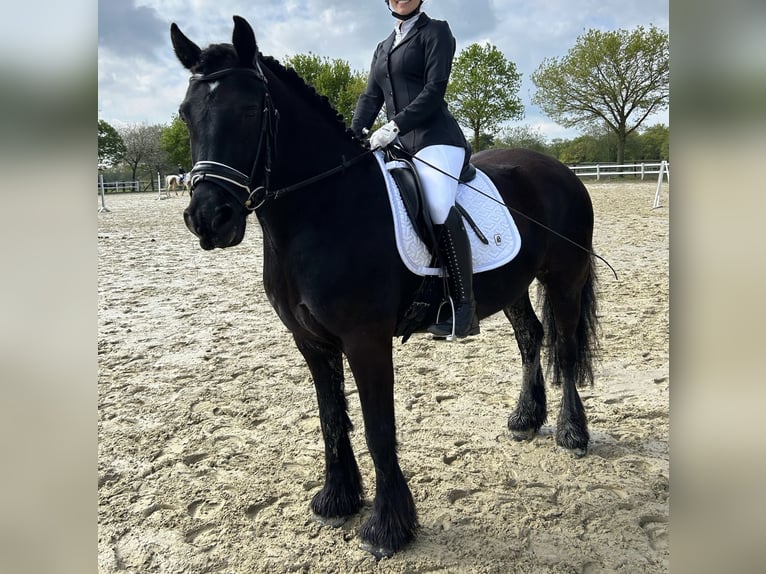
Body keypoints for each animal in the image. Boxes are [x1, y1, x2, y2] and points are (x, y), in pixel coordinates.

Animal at [171, 16, 600, 558]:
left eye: (250, 110)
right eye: (186, 114)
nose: (209, 220)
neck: (322, 210)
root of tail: (559, 169)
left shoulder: (365, 340)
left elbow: (378, 428)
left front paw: (388, 527)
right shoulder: (310, 341)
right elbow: (332, 418)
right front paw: (336, 499)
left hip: (565, 278)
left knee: (563, 346)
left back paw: (572, 433)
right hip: (513, 285)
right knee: (530, 338)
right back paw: (527, 419)